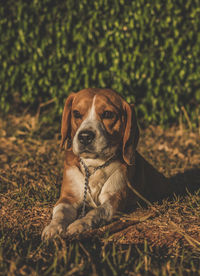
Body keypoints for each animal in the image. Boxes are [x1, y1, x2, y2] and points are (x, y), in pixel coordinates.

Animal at [41, 88, 169, 239]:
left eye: (108, 114)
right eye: (76, 113)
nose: (85, 136)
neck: (94, 164)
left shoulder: (114, 200)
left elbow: (96, 212)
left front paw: (80, 223)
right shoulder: (67, 197)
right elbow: (60, 212)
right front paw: (54, 227)